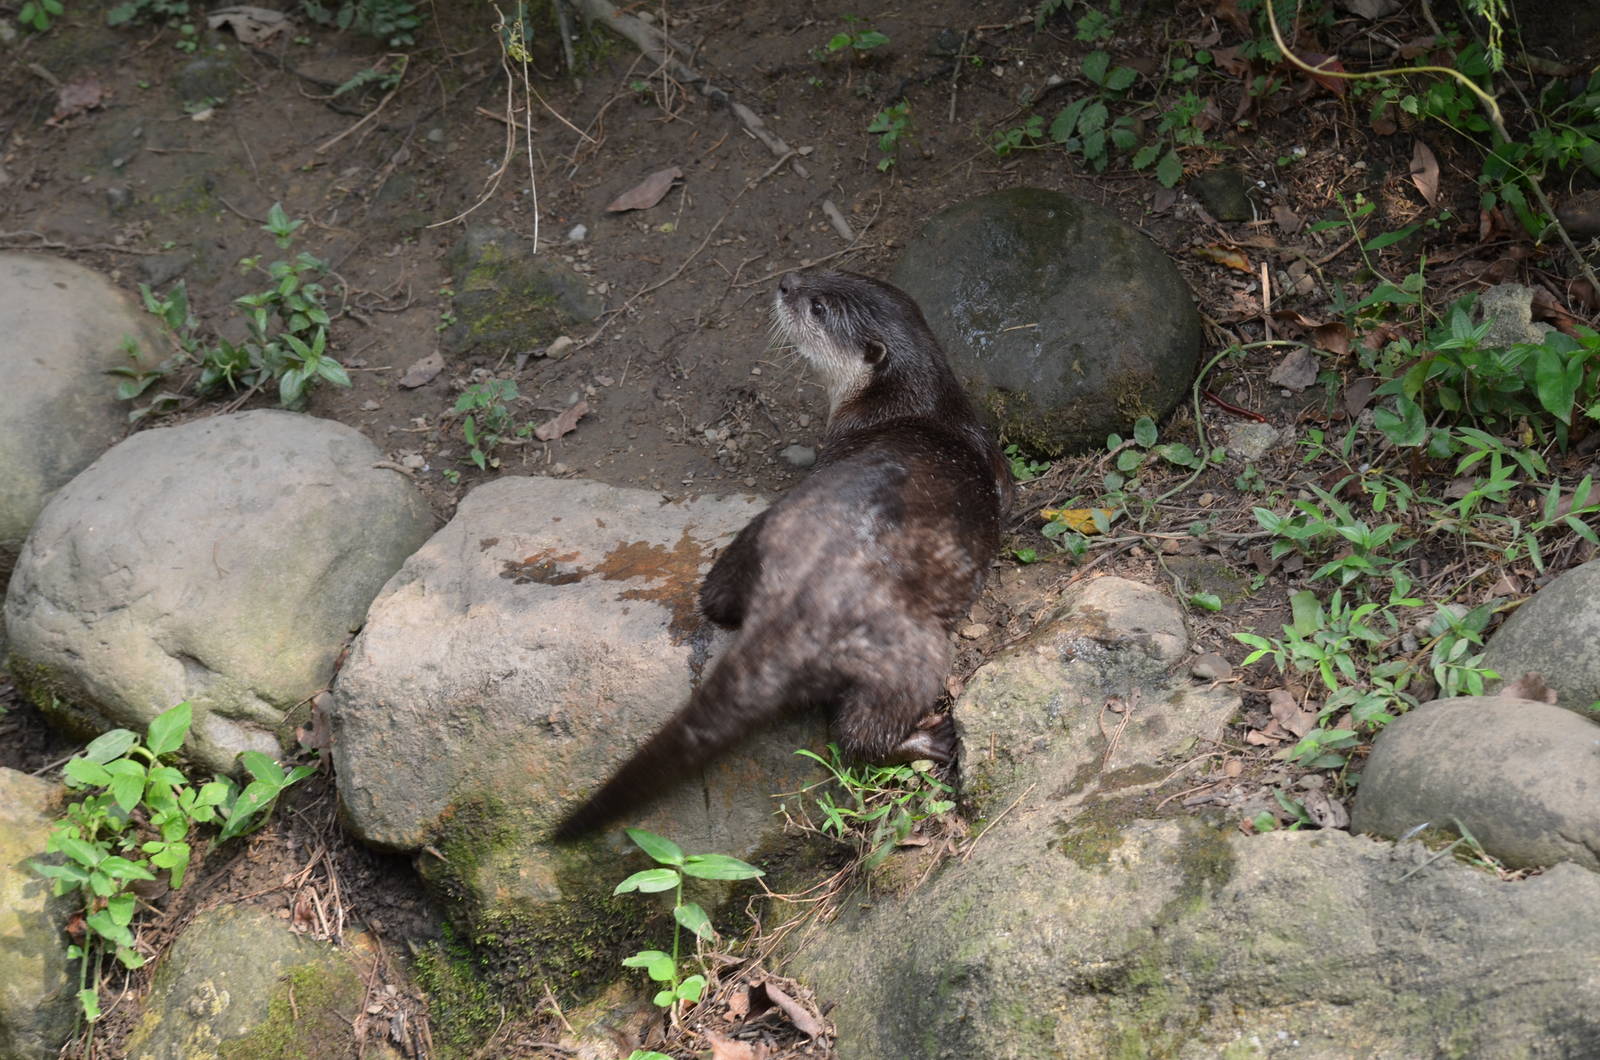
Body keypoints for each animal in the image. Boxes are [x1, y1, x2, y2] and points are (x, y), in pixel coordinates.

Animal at [552, 269, 1012, 840]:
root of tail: (797, 603)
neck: (915, 405)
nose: (787, 283)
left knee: (856, 735)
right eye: (831, 276)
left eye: (818, 307)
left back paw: (932, 738)